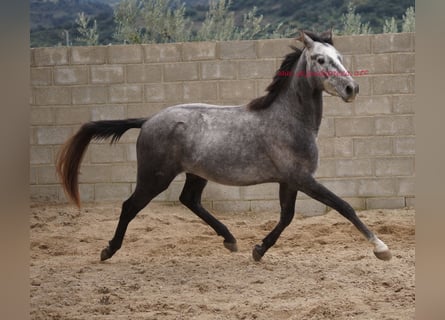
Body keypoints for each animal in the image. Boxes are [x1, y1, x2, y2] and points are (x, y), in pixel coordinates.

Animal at [56, 30, 392, 262]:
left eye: (341, 57)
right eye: (321, 59)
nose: (352, 88)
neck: (289, 119)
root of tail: (149, 120)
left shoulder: (290, 180)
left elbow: (287, 216)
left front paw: (258, 250)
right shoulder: (302, 178)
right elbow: (342, 205)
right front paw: (382, 248)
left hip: (195, 174)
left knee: (189, 200)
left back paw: (230, 239)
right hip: (155, 177)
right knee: (130, 206)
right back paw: (108, 250)